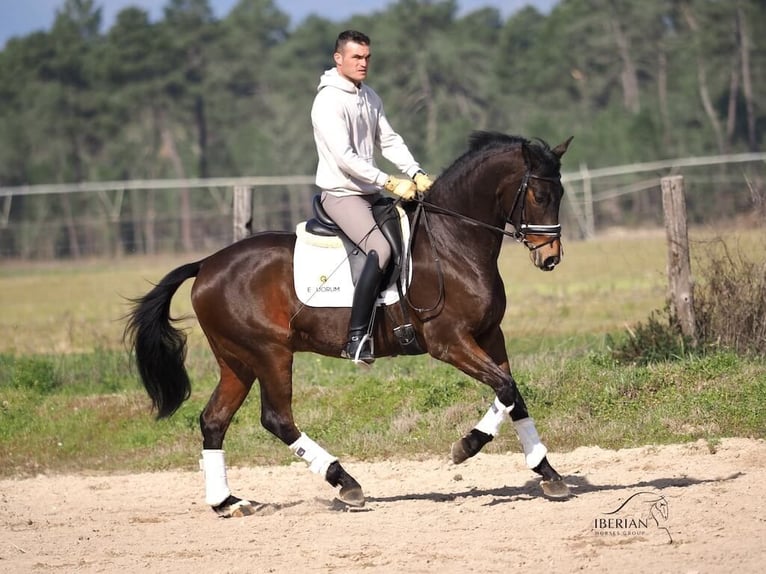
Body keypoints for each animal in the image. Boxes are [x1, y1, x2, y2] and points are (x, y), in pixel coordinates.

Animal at [124, 131, 573, 517]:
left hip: (238, 361)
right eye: (539, 194)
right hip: (269, 353)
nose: (550, 257)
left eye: (561, 194)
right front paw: (466, 446)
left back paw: (228, 502)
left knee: (214, 420)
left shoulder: (489, 335)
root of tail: (207, 264)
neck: (453, 243)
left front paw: (549, 474)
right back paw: (345, 482)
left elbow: (513, 393)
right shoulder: (449, 342)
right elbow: (505, 388)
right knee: (276, 419)